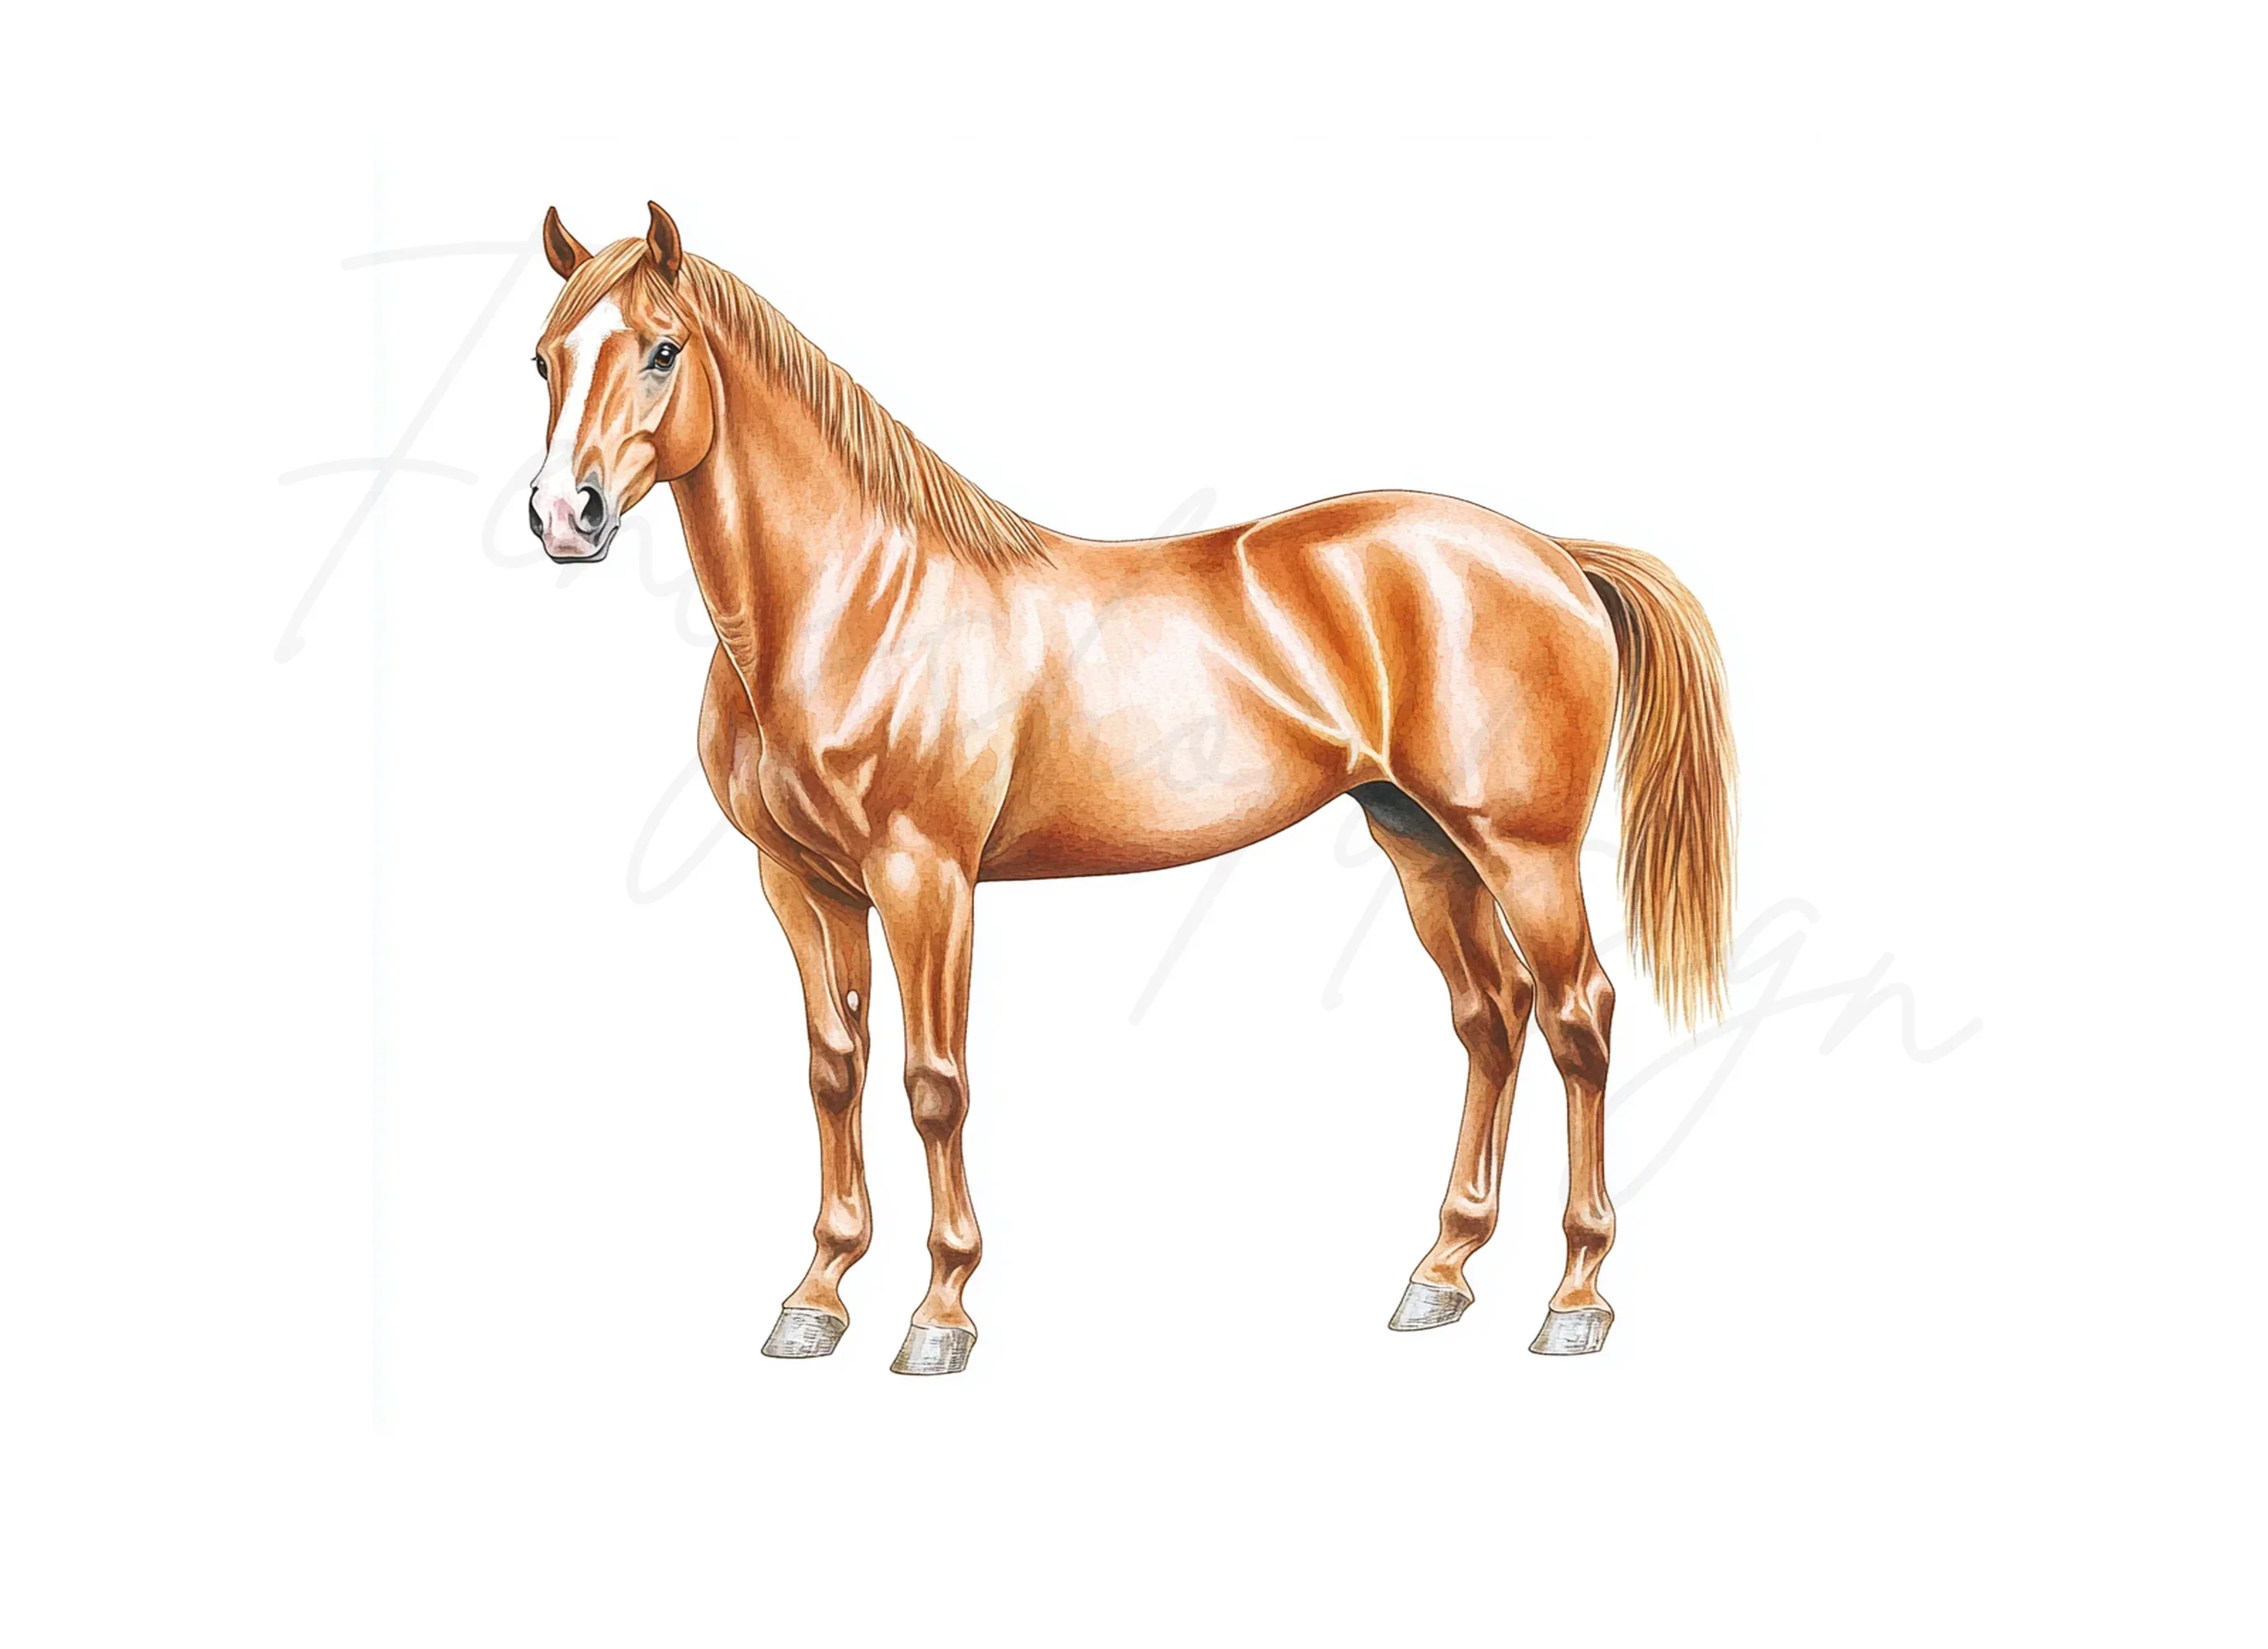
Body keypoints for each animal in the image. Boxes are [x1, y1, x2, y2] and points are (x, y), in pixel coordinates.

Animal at [526, 203, 1735, 1375]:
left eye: (663, 351)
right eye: (544, 358)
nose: (562, 516)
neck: (855, 602)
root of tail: (1550, 554)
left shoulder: (927, 880)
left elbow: (933, 1082)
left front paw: (941, 1312)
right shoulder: (800, 885)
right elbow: (835, 1071)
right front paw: (816, 1297)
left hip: (1523, 854)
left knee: (1578, 1018)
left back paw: (1575, 1297)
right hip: (1424, 844)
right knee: (1491, 1019)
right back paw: (1439, 1273)